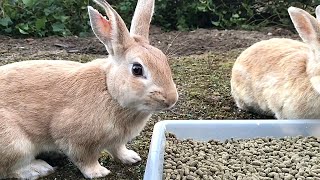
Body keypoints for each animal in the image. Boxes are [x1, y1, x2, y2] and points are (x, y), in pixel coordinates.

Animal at [0, 0, 179, 179]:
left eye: (164, 60)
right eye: (137, 69)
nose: (172, 99)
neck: (109, 90)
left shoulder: (117, 141)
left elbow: (118, 149)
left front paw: (131, 157)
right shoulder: (77, 141)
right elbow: (85, 159)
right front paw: (99, 172)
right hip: (17, 145)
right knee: (12, 168)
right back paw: (40, 168)